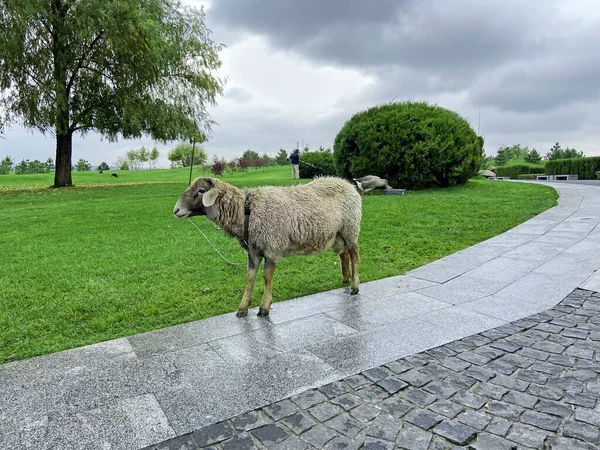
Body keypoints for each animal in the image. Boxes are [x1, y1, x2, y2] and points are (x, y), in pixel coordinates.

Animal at [173, 176, 360, 316]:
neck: (246, 210)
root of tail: (347, 183)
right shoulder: (253, 251)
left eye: (201, 191)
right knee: (344, 254)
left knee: (354, 254)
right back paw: (345, 279)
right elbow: (250, 277)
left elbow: (266, 277)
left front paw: (264, 307)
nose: (176, 210)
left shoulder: (272, 247)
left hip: (350, 228)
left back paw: (355, 286)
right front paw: (243, 308)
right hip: (337, 235)